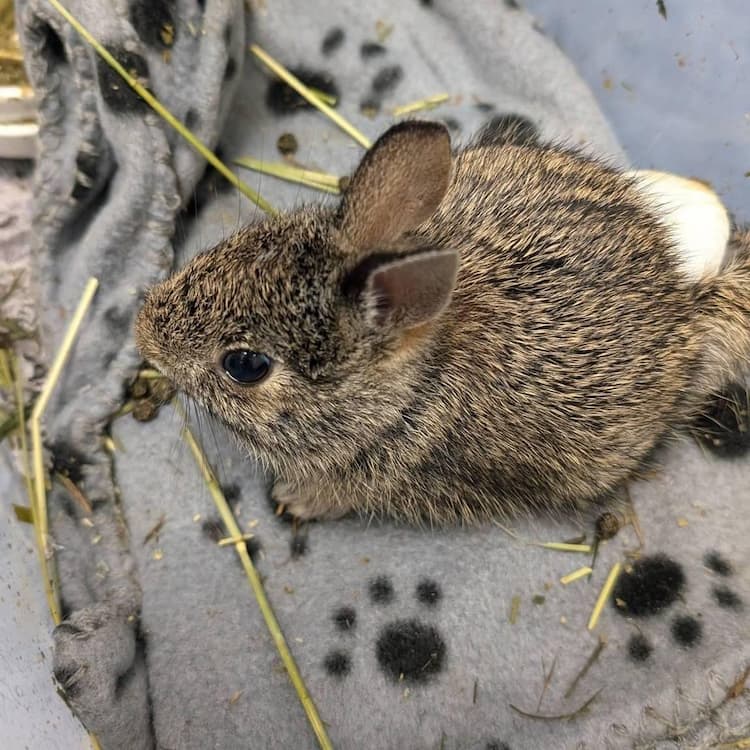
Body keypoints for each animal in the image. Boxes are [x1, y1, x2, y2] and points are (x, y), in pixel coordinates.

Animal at [135, 119, 750, 525]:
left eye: (246, 365)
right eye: (239, 242)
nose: (144, 335)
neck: (405, 387)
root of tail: (683, 303)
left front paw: (292, 500)